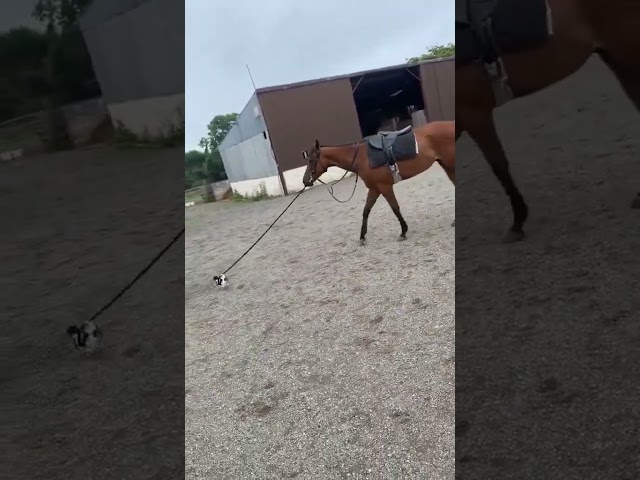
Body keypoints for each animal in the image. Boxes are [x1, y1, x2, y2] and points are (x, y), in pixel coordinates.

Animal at [302, 120, 456, 248]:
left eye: (311, 160)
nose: (305, 181)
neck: (361, 157)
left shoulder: (384, 187)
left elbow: (395, 208)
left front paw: (403, 232)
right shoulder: (374, 188)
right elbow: (366, 211)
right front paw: (362, 237)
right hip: (447, 165)